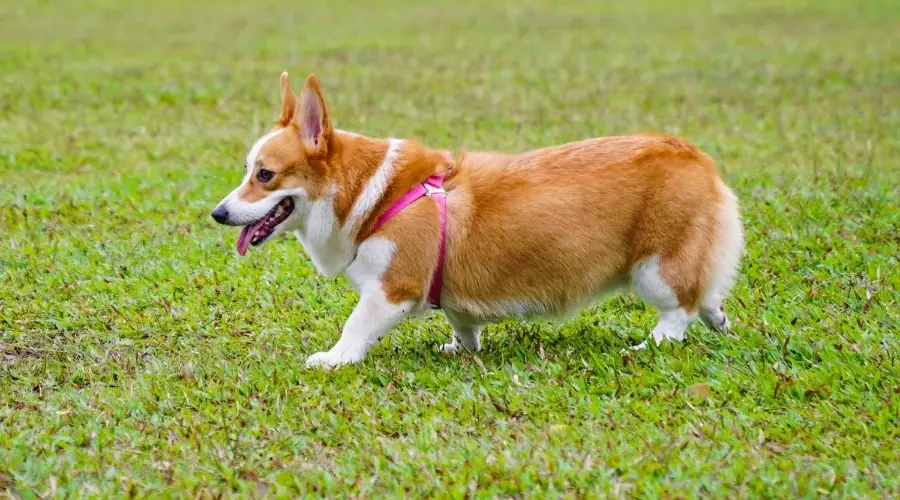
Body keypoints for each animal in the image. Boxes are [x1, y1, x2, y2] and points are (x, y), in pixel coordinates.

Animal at [211, 72, 744, 368]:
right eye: (247, 170)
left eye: (264, 175)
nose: (218, 213)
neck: (367, 194)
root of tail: (697, 156)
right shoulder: (446, 292)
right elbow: (462, 323)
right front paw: (461, 348)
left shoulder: (390, 289)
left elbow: (355, 326)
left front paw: (333, 359)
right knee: (707, 295)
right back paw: (720, 320)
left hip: (655, 270)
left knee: (679, 311)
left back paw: (647, 346)